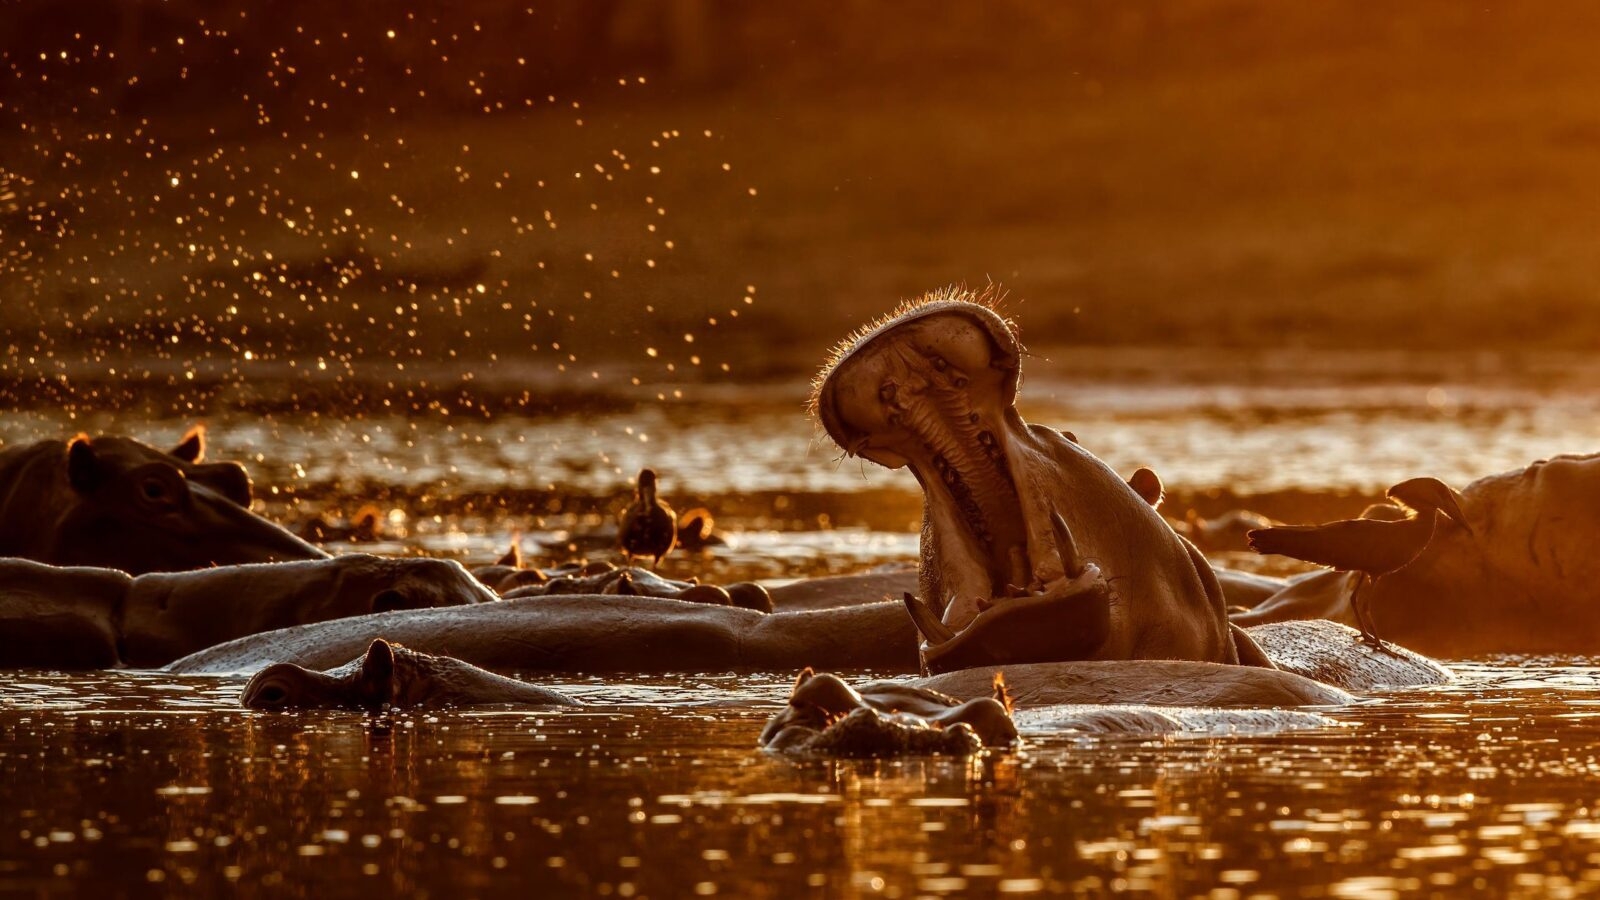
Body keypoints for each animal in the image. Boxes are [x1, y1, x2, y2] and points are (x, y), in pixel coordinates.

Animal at [1233, 452, 1600, 656]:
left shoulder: (1369, 570)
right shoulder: (1375, 570)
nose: (1465, 523)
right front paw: (1379, 643)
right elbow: (1363, 604)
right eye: (1442, 493)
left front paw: (1371, 640)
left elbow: (1356, 602)